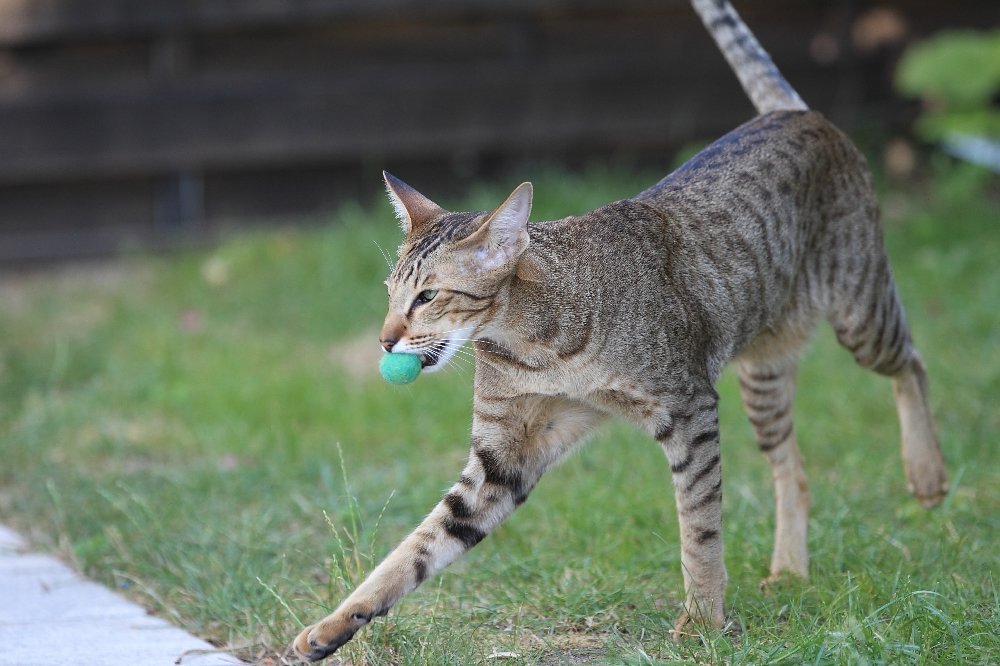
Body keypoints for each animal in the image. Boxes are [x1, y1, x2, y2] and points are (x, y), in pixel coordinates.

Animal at [294, 0, 944, 652]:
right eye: (389, 295)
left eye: (427, 297)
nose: (384, 340)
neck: (532, 345)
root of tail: (794, 111)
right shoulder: (503, 459)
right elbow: (413, 550)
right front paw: (331, 626)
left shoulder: (689, 411)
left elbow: (699, 529)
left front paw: (701, 622)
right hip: (763, 373)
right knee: (795, 467)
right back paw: (789, 569)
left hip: (860, 315)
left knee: (913, 362)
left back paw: (927, 472)